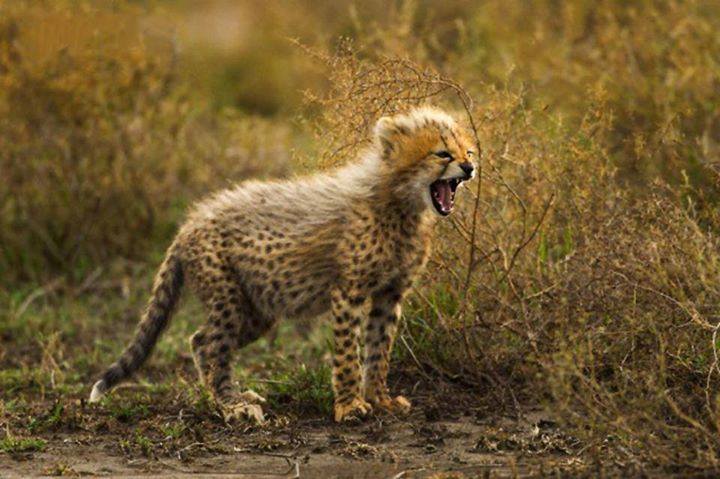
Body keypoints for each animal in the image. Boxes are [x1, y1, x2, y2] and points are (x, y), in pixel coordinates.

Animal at [90, 107, 478, 422]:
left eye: (468, 151)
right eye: (442, 153)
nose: (470, 167)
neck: (399, 203)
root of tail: (192, 221)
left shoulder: (389, 294)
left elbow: (379, 349)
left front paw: (379, 398)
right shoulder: (348, 293)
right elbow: (348, 355)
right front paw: (349, 405)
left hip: (257, 310)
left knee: (200, 340)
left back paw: (229, 395)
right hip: (229, 300)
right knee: (212, 344)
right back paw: (232, 407)